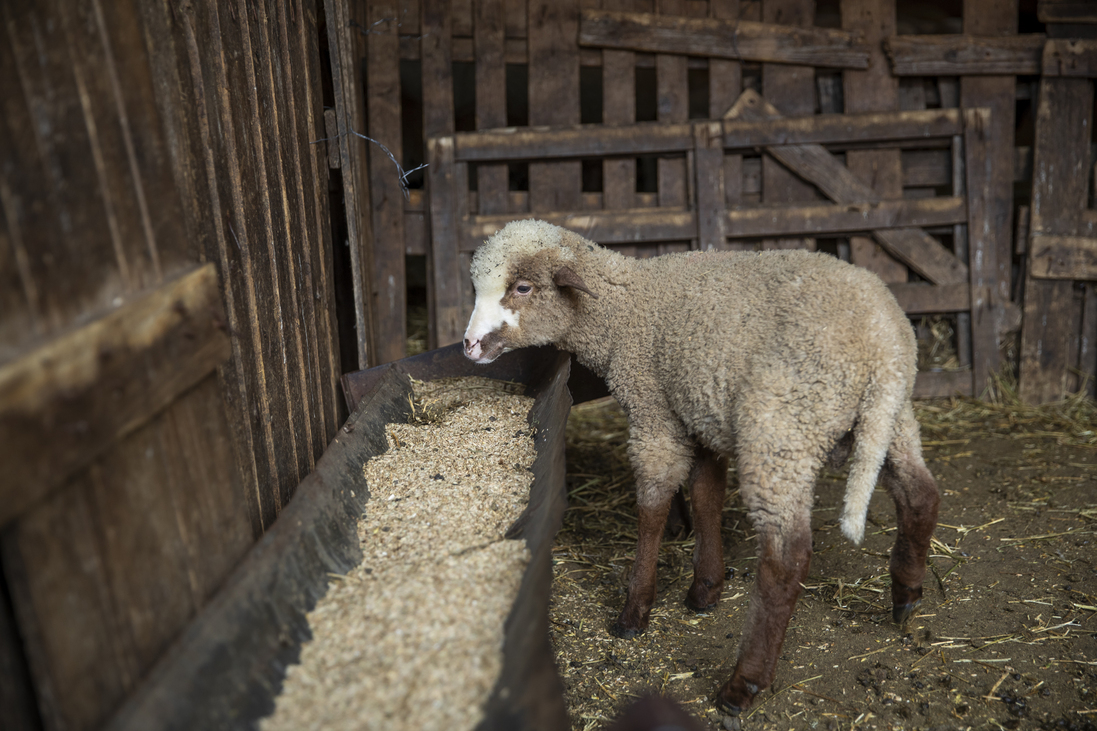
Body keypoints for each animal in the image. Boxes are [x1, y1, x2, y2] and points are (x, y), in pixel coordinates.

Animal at [462, 217, 943, 724]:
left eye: (523, 287)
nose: (469, 346)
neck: (624, 310)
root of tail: (884, 347)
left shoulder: (654, 411)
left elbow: (653, 509)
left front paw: (634, 611)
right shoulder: (701, 411)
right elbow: (707, 496)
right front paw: (705, 590)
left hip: (781, 428)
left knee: (786, 558)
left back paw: (743, 683)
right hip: (889, 420)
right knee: (921, 495)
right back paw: (906, 594)